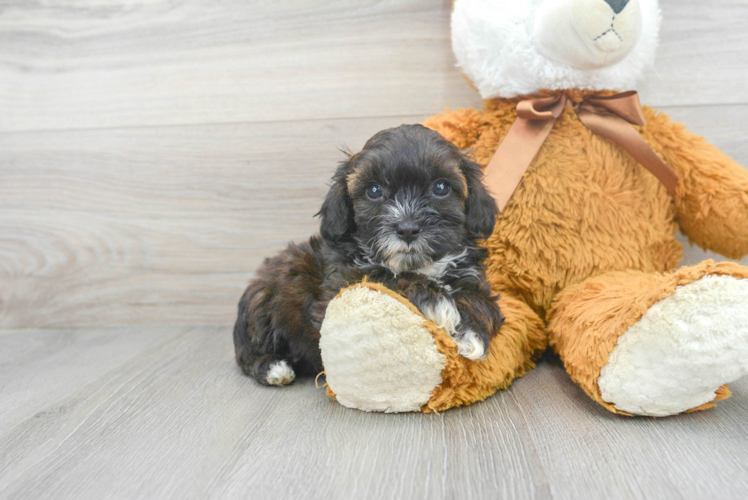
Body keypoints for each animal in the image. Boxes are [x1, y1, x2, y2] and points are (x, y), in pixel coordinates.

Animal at [234, 124, 502, 386]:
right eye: (374, 190)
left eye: (441, 187)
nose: (407, 228)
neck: (419, 266)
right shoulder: (341, 285)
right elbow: (385, 277)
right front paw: (438, 301)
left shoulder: (470, 273)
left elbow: (480, 298)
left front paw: (473, 331)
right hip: (261, 300)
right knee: (247, 353)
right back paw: (273, 367)